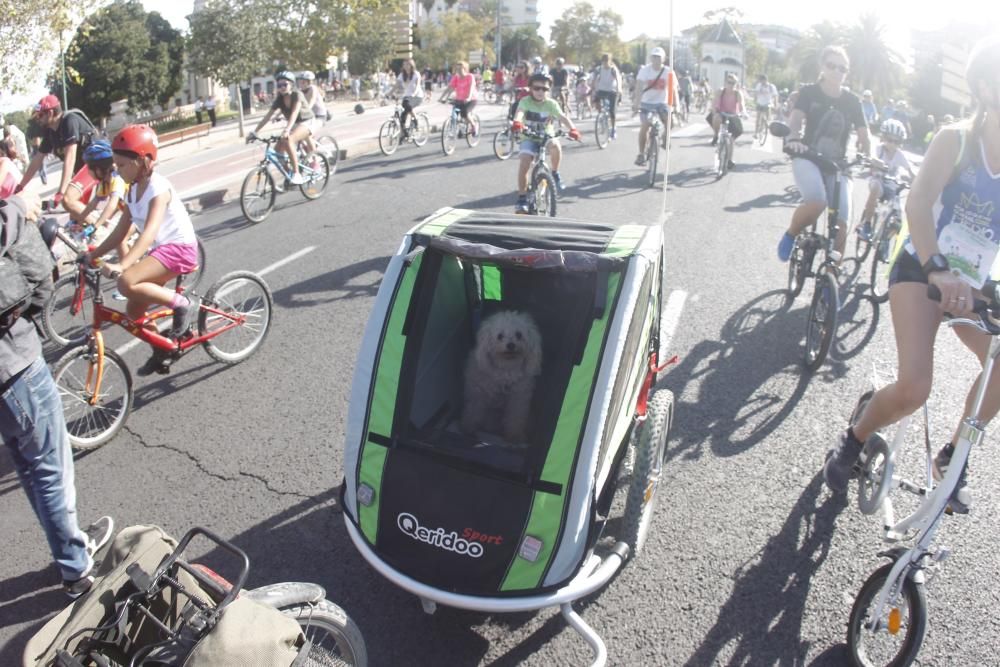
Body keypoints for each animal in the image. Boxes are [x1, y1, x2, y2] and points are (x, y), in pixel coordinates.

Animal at [458, 312, 540, 444]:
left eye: (519, 334)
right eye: (500, 336)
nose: (511, 345)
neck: (505, 369)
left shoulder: (518, 399)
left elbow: (515, 417)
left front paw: (515, 436)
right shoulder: (478, 394)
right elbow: (473, 411)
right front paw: (468, 428)